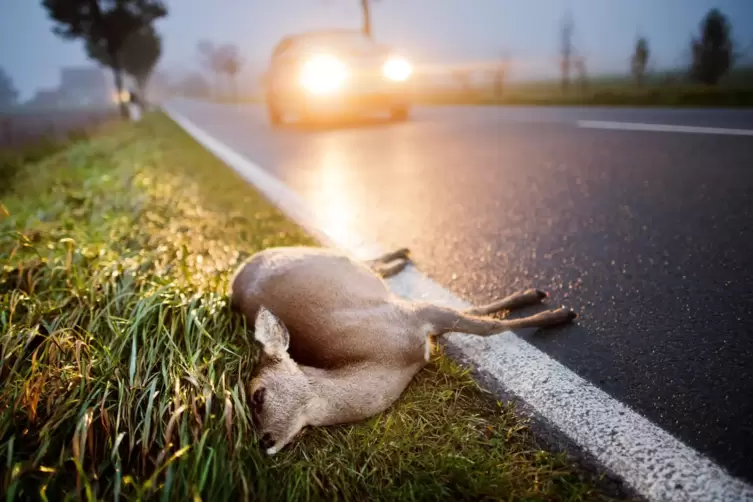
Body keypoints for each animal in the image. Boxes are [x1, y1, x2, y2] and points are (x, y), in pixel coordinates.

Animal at [229, 246, 576, 454]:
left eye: (258, 395)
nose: (263, 442)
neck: (390, 360)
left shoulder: (411, 315)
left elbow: (487, 326)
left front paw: (555, 313)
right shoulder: (417, 319)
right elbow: (477, 317)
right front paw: (544, 306)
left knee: (362, 259)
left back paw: (401, 256)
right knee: (368, 263)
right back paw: (401, 258)